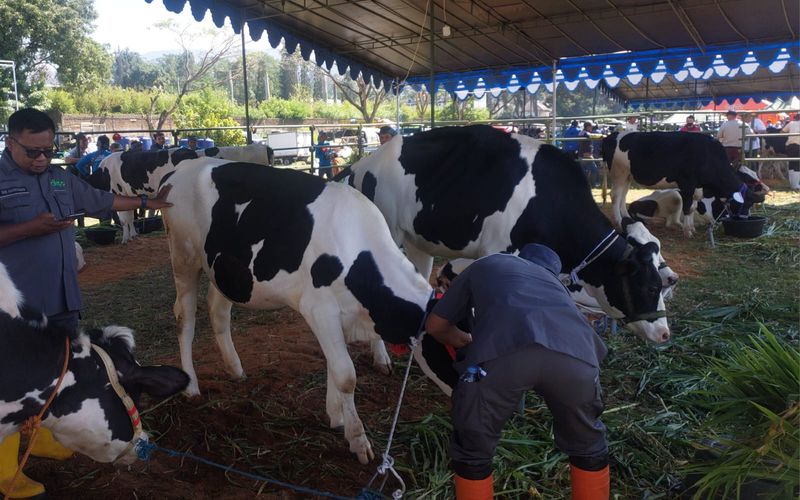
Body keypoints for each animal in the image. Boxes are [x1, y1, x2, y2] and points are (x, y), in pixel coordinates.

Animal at [348, 125, 668, 344]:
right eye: (652, 287)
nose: (665, 333)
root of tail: (363, 164)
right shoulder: (496, 251)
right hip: (387, 231)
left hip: (418, 241)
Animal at [604, 131, 764, 236]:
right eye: (746, 204)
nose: (745, 220)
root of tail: (614, 134)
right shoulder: (687, 184)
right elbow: (687, 207)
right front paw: (688, 231)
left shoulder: (697, 188)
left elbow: (693, 206)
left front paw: (691, 228)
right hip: (619, 173)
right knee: (615, 196)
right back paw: (618, 222)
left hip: (627, 177)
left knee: (623, 197)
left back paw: (627, 219)